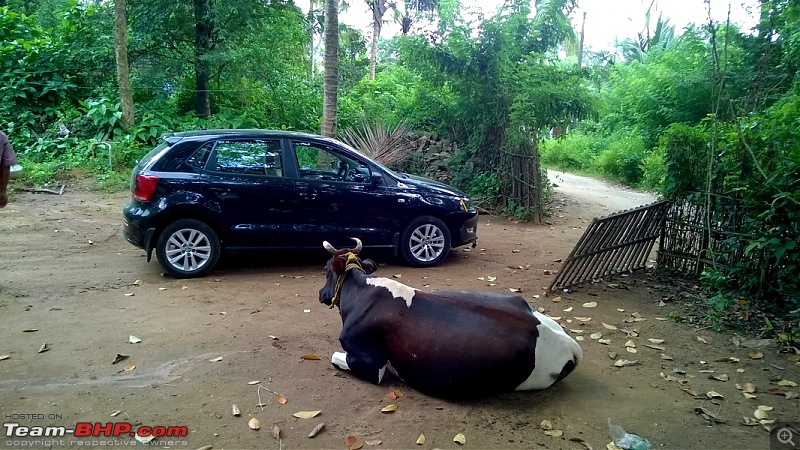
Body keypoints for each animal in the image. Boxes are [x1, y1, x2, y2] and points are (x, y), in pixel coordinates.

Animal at [318, 237, 580, 400]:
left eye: (326, 269)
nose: (321, 294)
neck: (359, 294)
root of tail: (569, 344)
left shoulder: (370, 363)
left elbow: (334, 357)